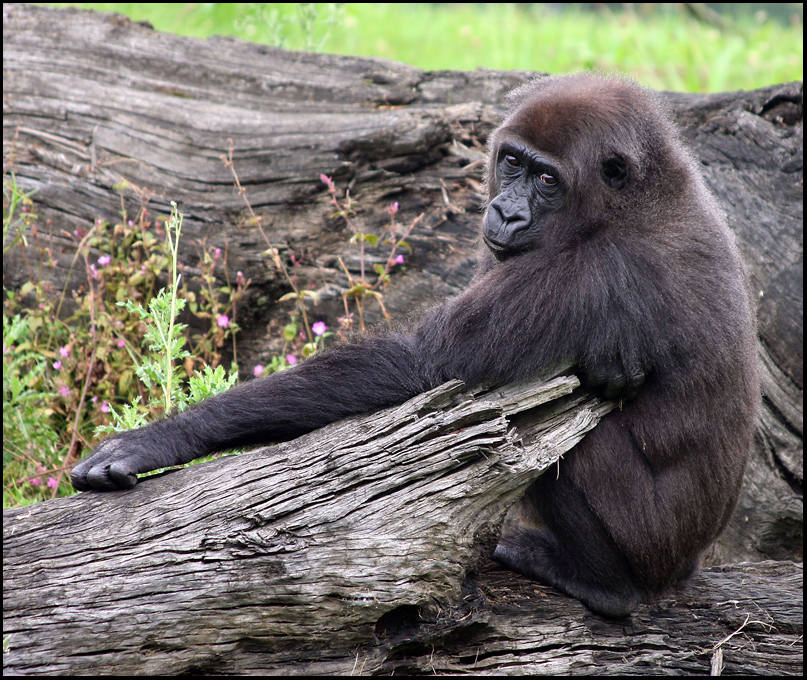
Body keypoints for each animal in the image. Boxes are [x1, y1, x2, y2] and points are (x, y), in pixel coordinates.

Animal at [72, 73, 760, 616]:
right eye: (512, 163)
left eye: (547, 178)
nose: (506, 213)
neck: (641, 192)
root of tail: (688, 569)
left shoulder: (589, 268)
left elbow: (421, 366)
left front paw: (164, 438)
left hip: (655, 557)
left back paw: (602, 585)